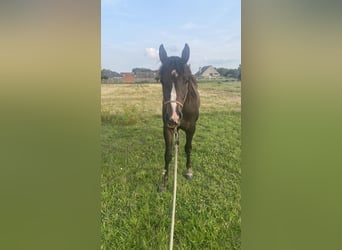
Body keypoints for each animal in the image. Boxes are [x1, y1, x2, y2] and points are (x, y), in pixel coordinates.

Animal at [158, 43, 200, 191]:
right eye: (161, 81)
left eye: (186, 81)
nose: (174, 117)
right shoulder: (167, 128)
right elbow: (168, 154)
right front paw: (164, 182)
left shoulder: (191, 128)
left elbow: (188, 148)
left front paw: (188, 171)